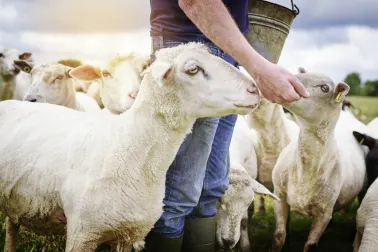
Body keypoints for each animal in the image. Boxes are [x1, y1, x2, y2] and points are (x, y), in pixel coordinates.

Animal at [270, 68, 370, 251]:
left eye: (325, 88)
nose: (283, 81)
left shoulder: (324, 213)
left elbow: (311, 245)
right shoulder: (279, 197)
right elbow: (279, 237)